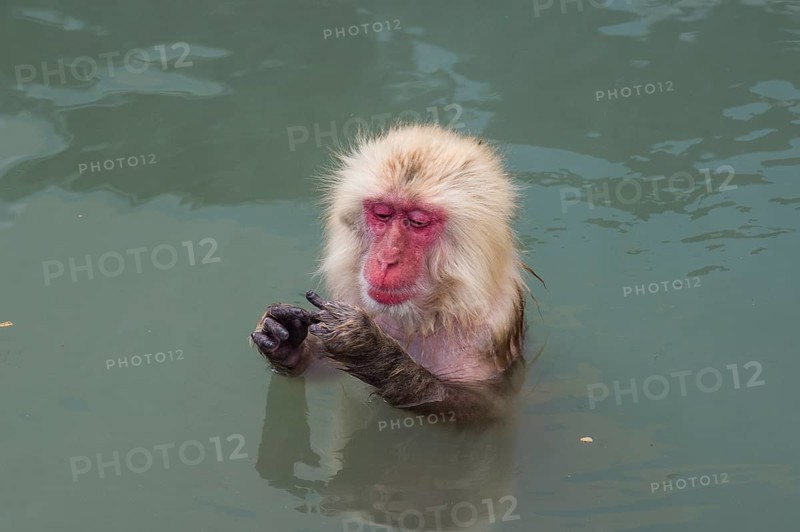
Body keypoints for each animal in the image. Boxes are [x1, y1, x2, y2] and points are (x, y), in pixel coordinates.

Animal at [250, 124, 535, 421]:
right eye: (382, 214)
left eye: (418, 221)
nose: (386, 259)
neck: (423, 316)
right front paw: (285, 335)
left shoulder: (486, 334)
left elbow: (486, 409)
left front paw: (371, 352)